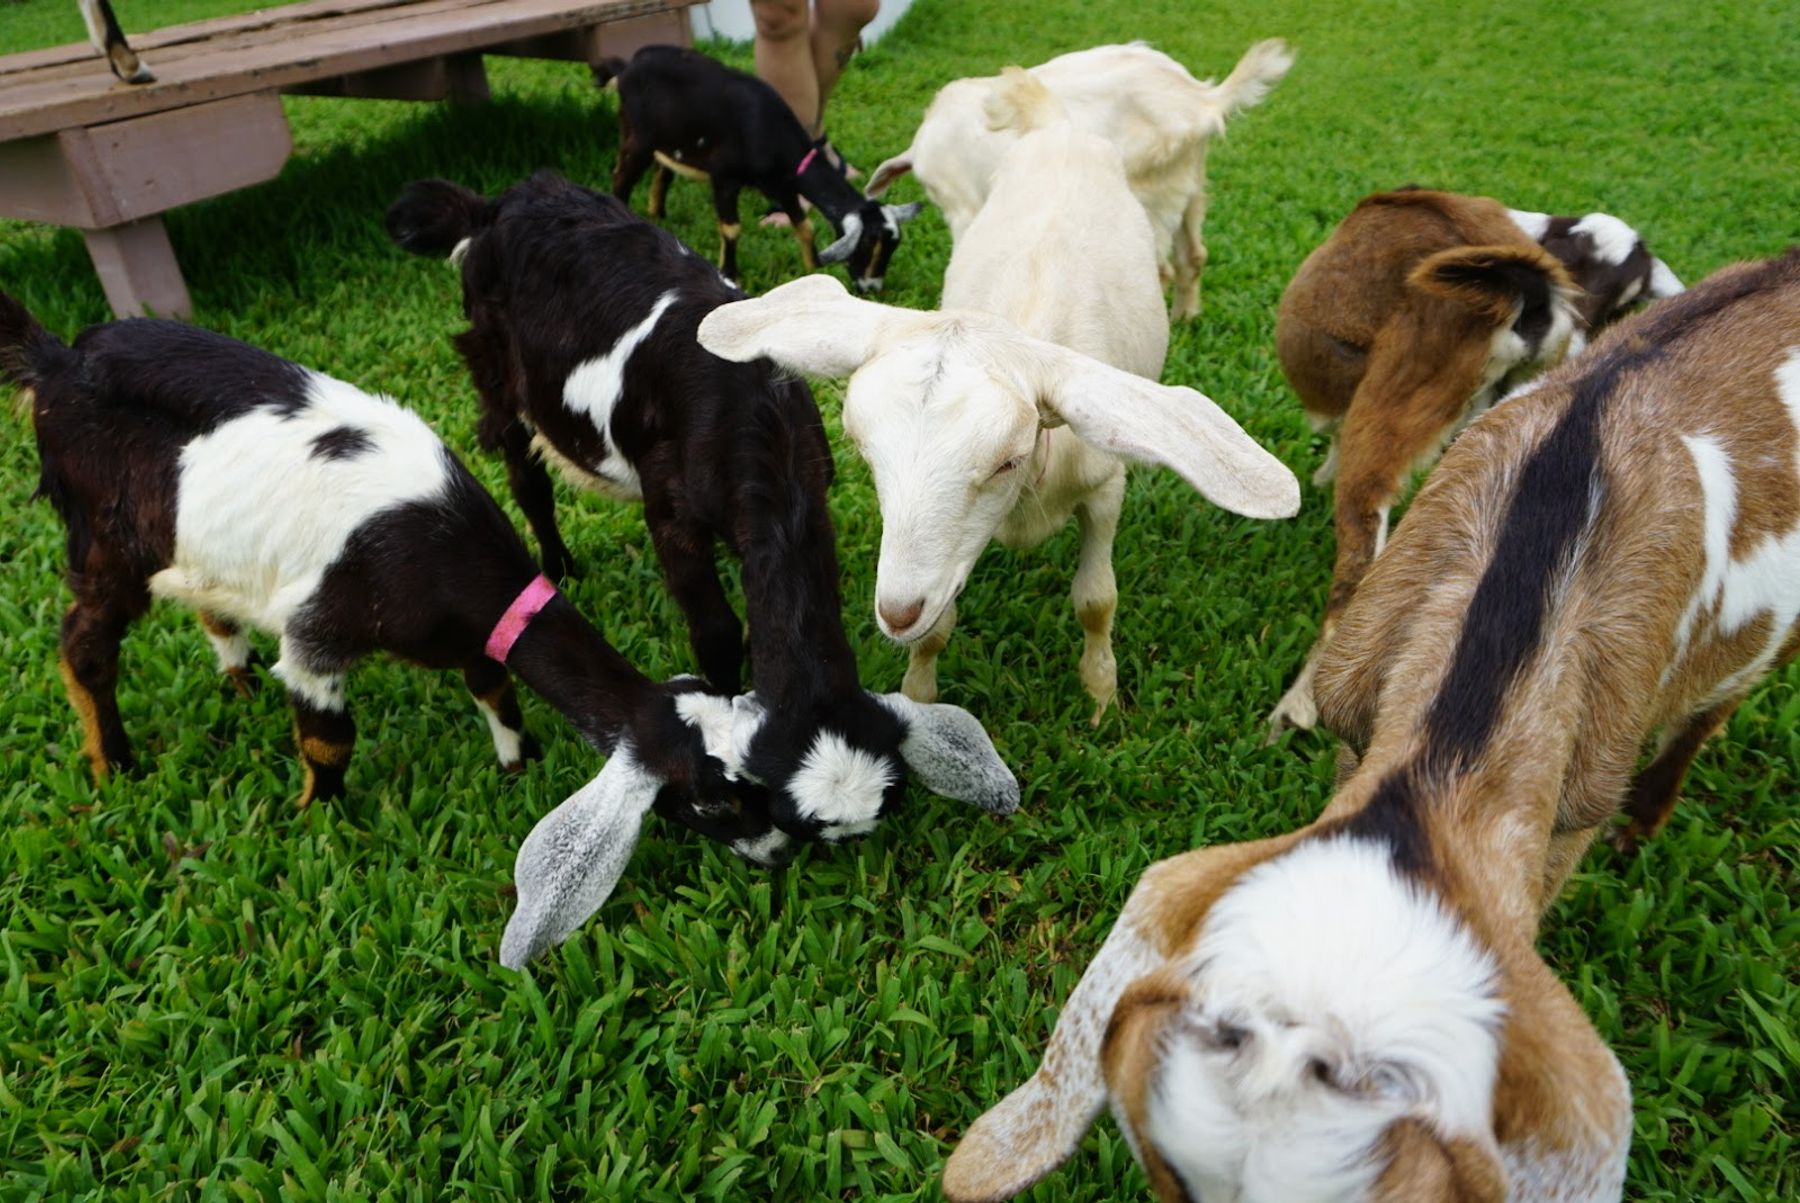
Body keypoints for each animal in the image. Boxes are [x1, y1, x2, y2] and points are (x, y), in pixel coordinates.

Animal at [386, 172, 1018, 874]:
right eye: (802, 823)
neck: (748, 415)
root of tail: (500, 203)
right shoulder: (672, 516)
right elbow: (714, 629)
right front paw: (721, 688)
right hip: (498, 374)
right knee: (527, 477)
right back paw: (558, 564)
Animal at [593, 45, 922, 293]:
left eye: (892, 247)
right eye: (866, 244)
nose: (872, 288)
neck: (766, 129)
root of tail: (626, 65)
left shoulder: (781, 184)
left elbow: (804, 225)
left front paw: (813, 269)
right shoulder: (724, 177)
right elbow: (731, 228)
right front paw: (731, 274)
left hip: (670, 141)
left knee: (662, 173)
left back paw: (658, 216)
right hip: (637, 136)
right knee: (621, 178)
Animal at [700, 70, 1298, 723]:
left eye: (1007, 460)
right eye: (863, 453)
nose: (896, 613)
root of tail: (1056, 126)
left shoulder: (1105, 488)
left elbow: (1096, 600)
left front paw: (1100, 697)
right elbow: (939, 627)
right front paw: (921, 697)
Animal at [866, 39, 1294, 319]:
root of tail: (1201, 100)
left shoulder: (963, 204)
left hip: (1147, 194)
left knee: (1160, 271)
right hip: (1190, 185)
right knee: (1194, 256)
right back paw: (1185, 321)